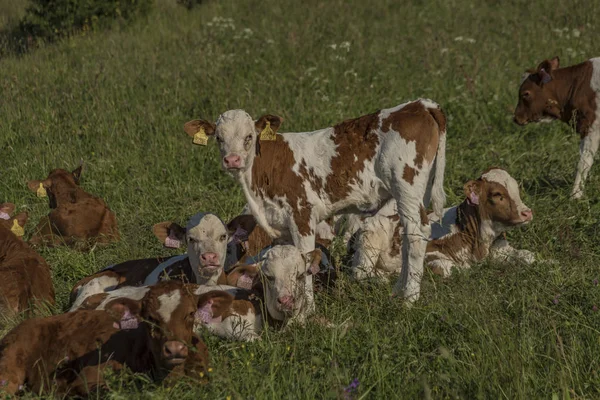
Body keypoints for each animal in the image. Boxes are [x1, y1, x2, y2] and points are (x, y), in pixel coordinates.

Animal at [352, 167, 536, 280]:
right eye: (497, 194)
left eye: (516, 188)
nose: (527, 212)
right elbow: (450, 268)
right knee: (360, 273)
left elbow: (529, 256)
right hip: (369, 244)